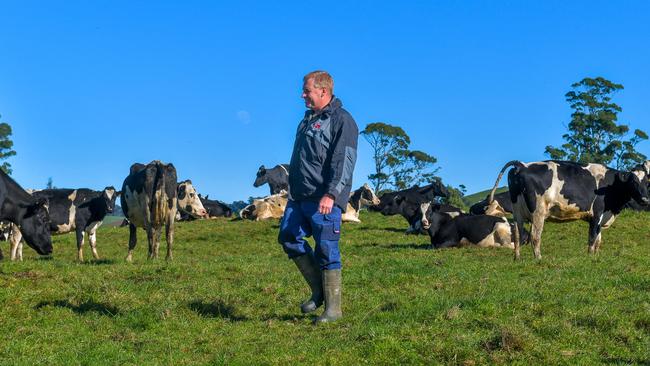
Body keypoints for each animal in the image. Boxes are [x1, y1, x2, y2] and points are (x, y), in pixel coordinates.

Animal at [488, 160, 648, 260]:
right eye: (633, 182)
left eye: (647, 182)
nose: (645, 200)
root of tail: (523, 165)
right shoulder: (597, 214)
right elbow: (592, 238)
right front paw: (590, 257)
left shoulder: (601, 218)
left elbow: (598, 239)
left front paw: (596, 257)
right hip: (538, 212)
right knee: (535, 236)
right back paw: (538, 258)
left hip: (517, 212)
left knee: (516, 233)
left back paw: (517, 258)